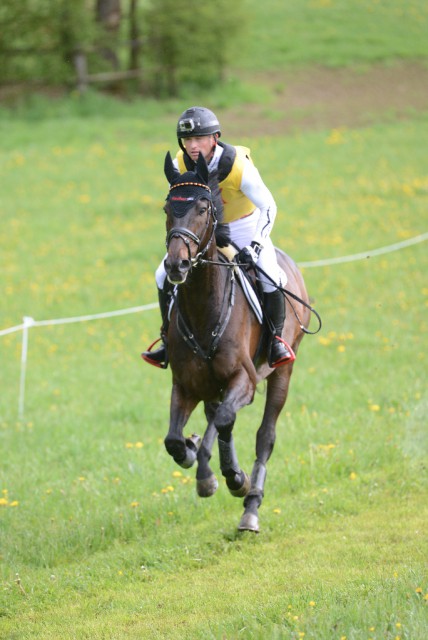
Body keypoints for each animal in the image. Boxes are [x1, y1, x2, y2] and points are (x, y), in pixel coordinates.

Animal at [160, 152, 310, 532]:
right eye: (167, 208)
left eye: (202, 207)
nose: (176, 264)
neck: (205, 310)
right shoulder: (185, 385)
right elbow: (174, 440)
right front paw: (194, 453)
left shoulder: (245, 380)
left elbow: (227, 423)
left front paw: (219, 478)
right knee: (219, 419)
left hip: (282, 372)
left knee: (264, 436)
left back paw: (250, 506)